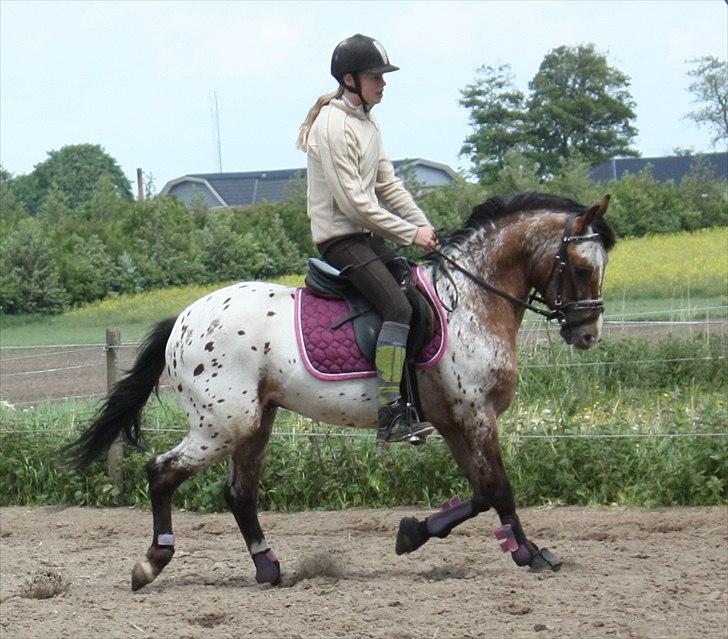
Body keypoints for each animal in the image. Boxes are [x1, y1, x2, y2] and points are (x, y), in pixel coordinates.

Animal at [67, 192, 616, 592]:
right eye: (581, 268)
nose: (588, 334)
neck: (472, 302)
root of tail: (182, 319)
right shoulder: (477, 413)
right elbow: (500, 487)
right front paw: (533, 555)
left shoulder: (454, 419)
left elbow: (483, 491)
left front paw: (418, 535)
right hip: (223, 424)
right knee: (162, 472)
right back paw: (152, 563)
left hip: (256, 420)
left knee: (239, 492)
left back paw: (269, 569)